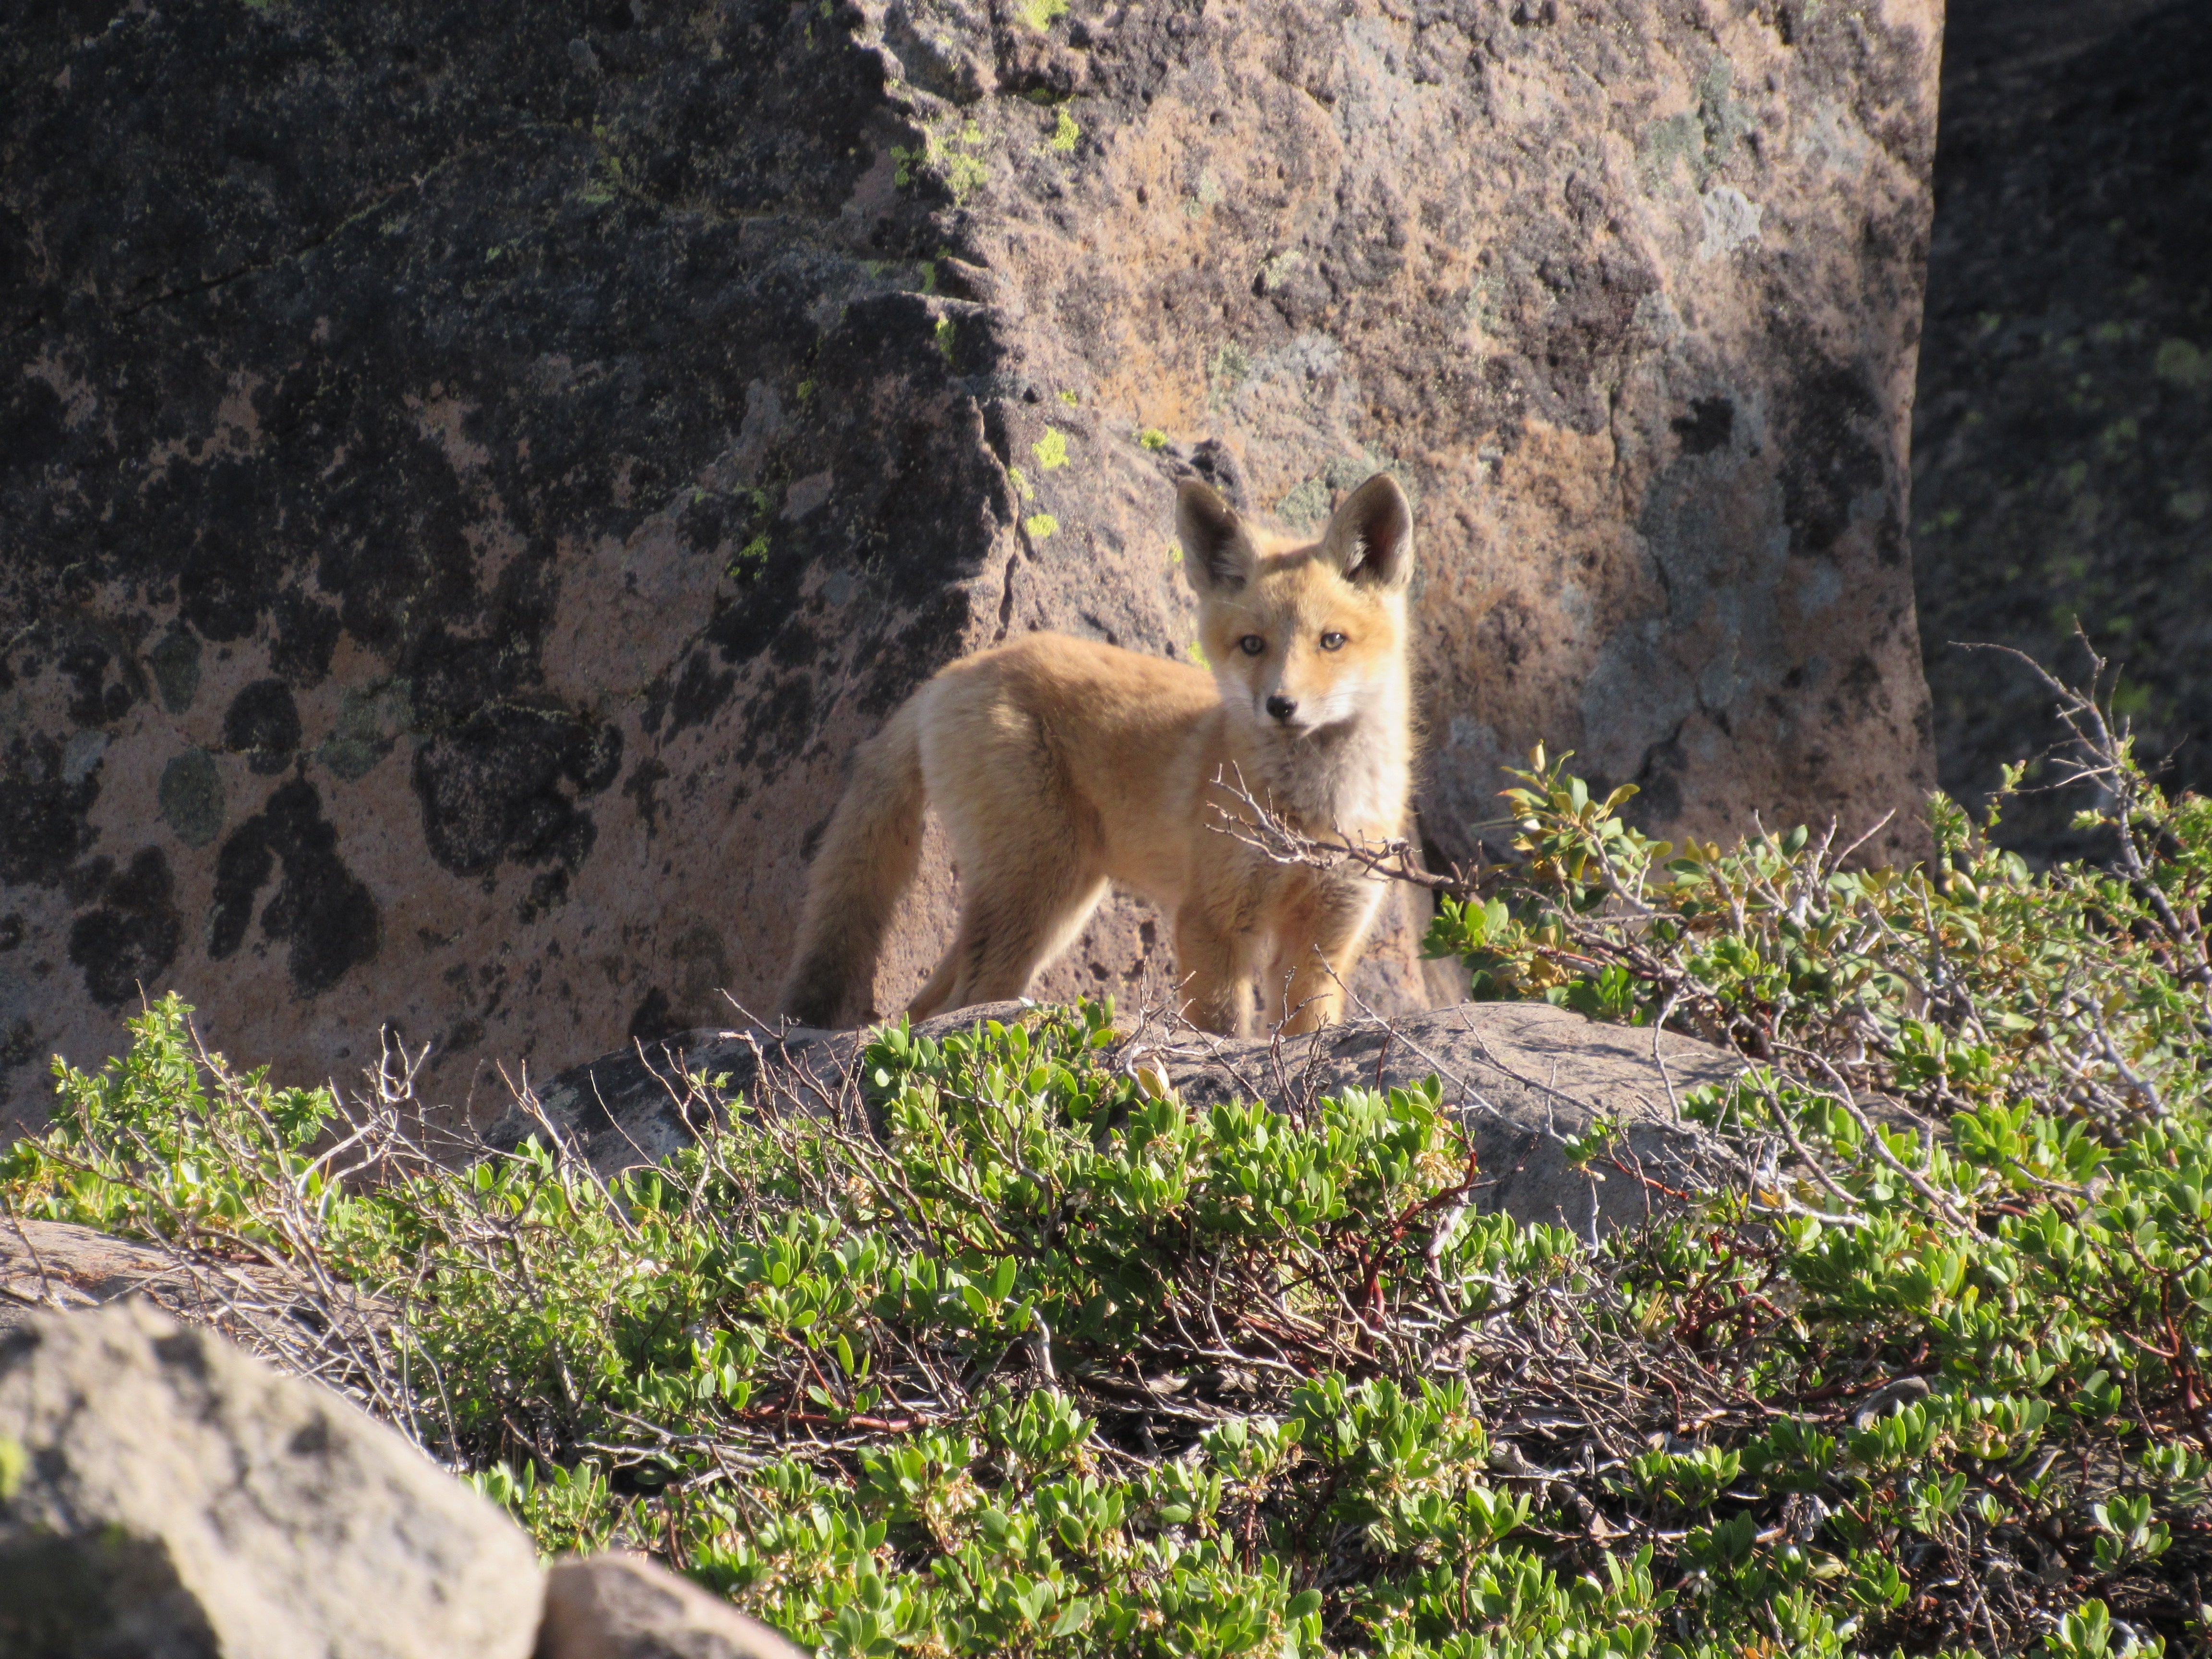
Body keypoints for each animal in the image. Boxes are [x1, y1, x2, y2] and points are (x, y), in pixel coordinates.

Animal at [783, 471, 1416, 1039]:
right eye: (1252, 645)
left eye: (1332, 641)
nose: (1281, 705)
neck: (1319, 812)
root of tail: (951, 673)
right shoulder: (1211, 920)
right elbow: (1223, 1032)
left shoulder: (1328, 938)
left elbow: (1308, 1031)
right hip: (1039, 891)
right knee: (964, 1007)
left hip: (1059, 899)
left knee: (923, 1008)